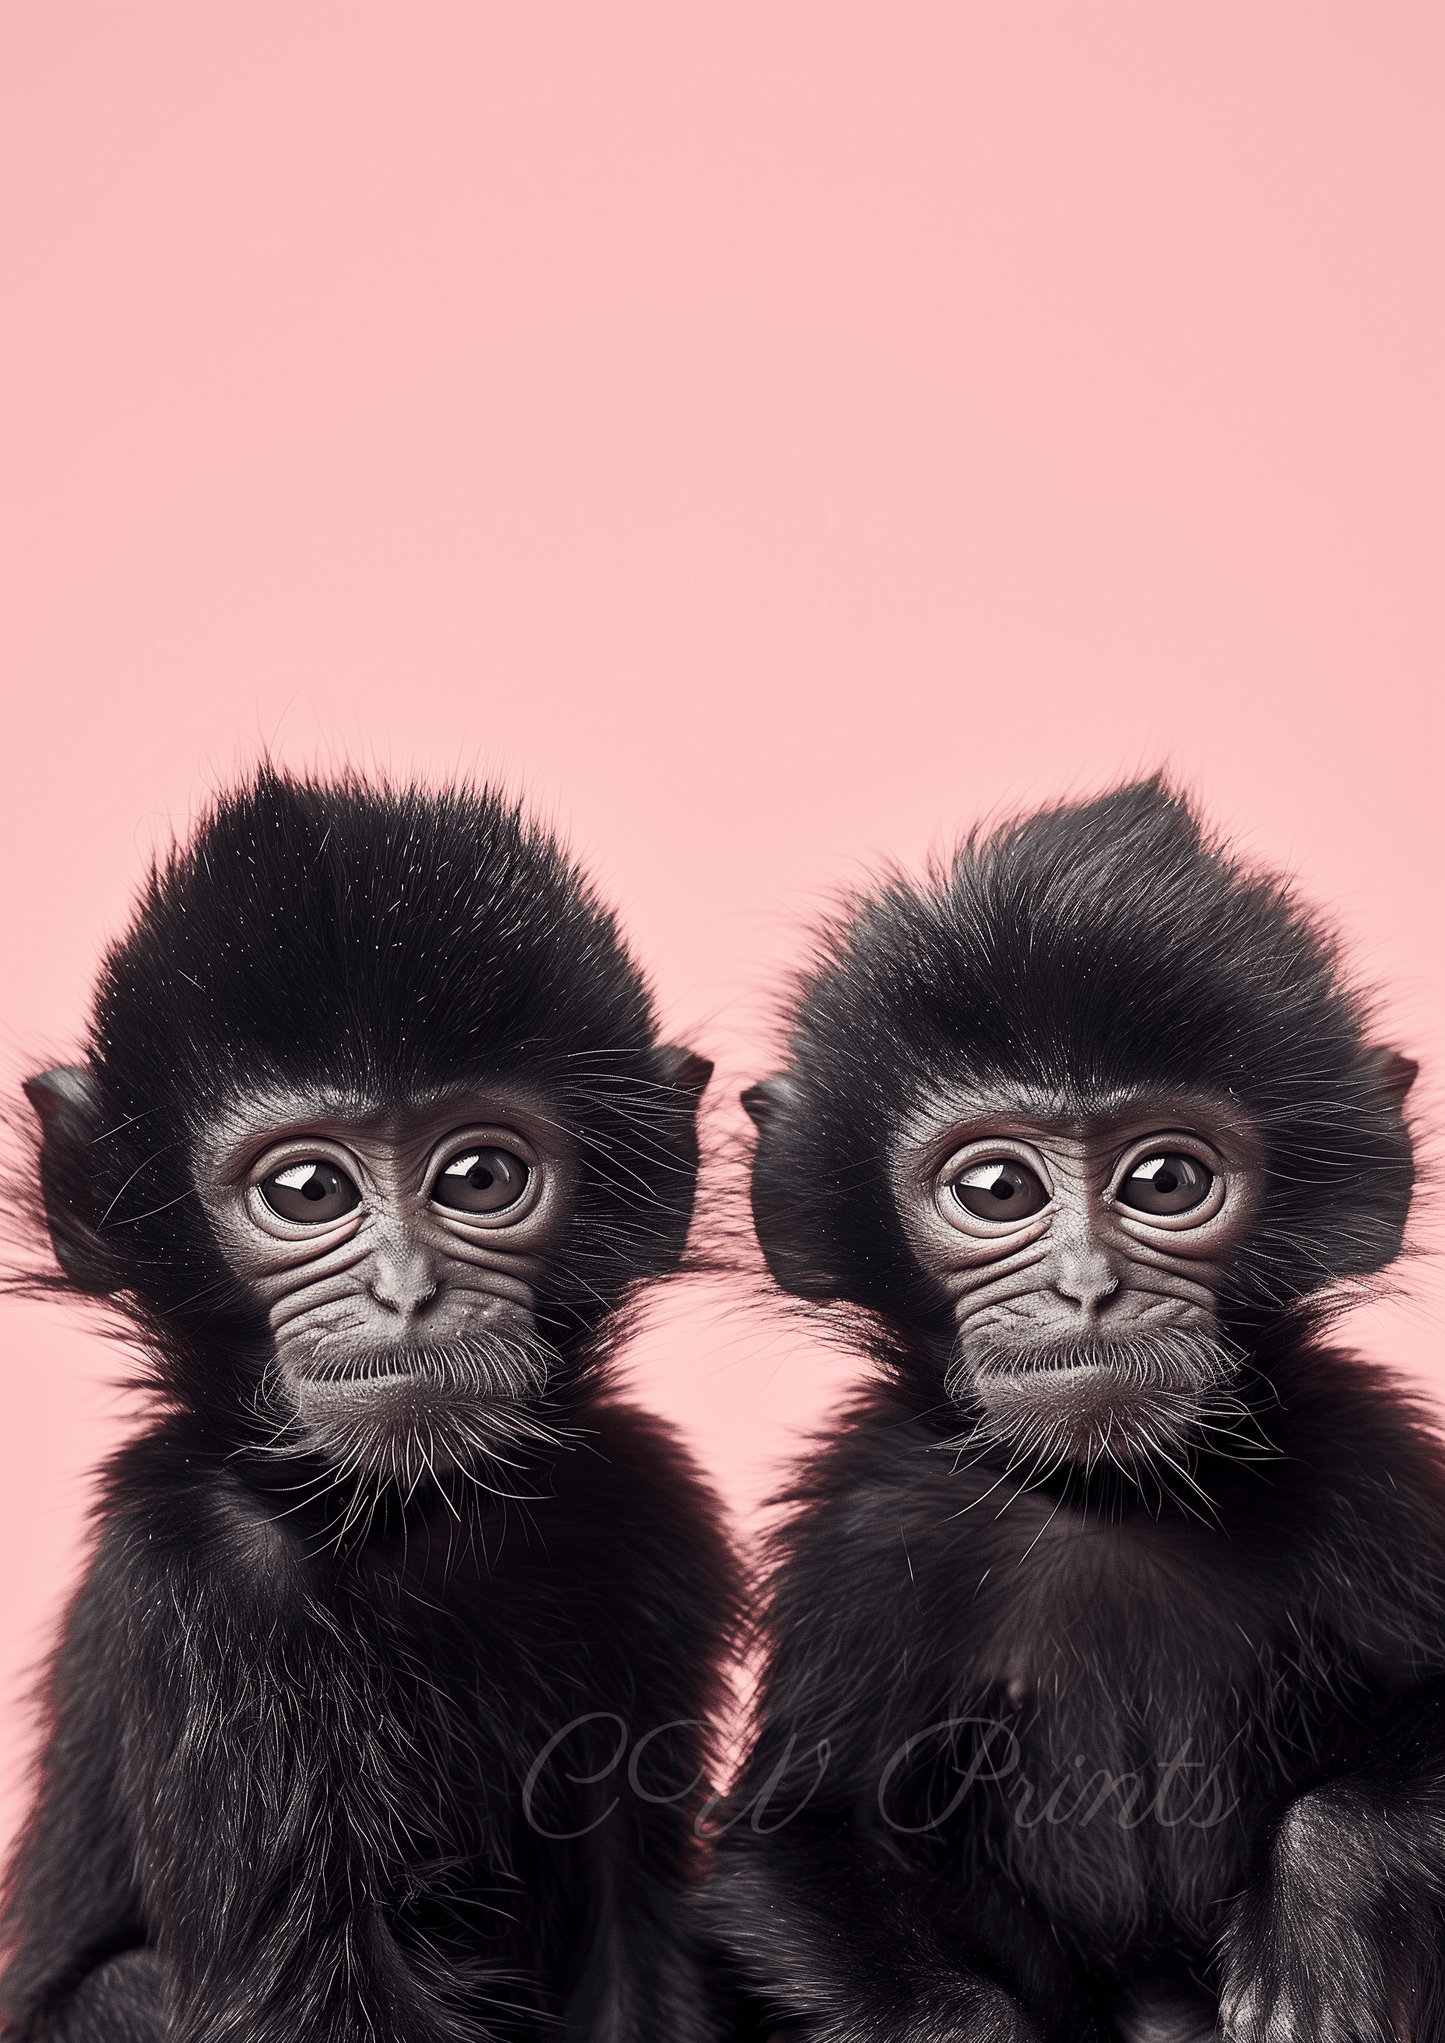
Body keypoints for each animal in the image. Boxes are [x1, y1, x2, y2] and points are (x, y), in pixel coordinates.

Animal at [0, 771, 737, 2043]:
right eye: (306, 1190)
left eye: (480, 1178)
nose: (405, 1293)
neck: (410, 1527)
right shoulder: (200, 1575)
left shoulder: (648, 1513)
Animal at [707, 779, 1441, 2042]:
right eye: (994, 1189)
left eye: (1165, 1181)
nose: (1085, 1288)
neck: (1107, 1498)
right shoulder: (865, 1528)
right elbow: (789, 1847)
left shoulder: (1367, 1468)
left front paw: (1317, 1905)